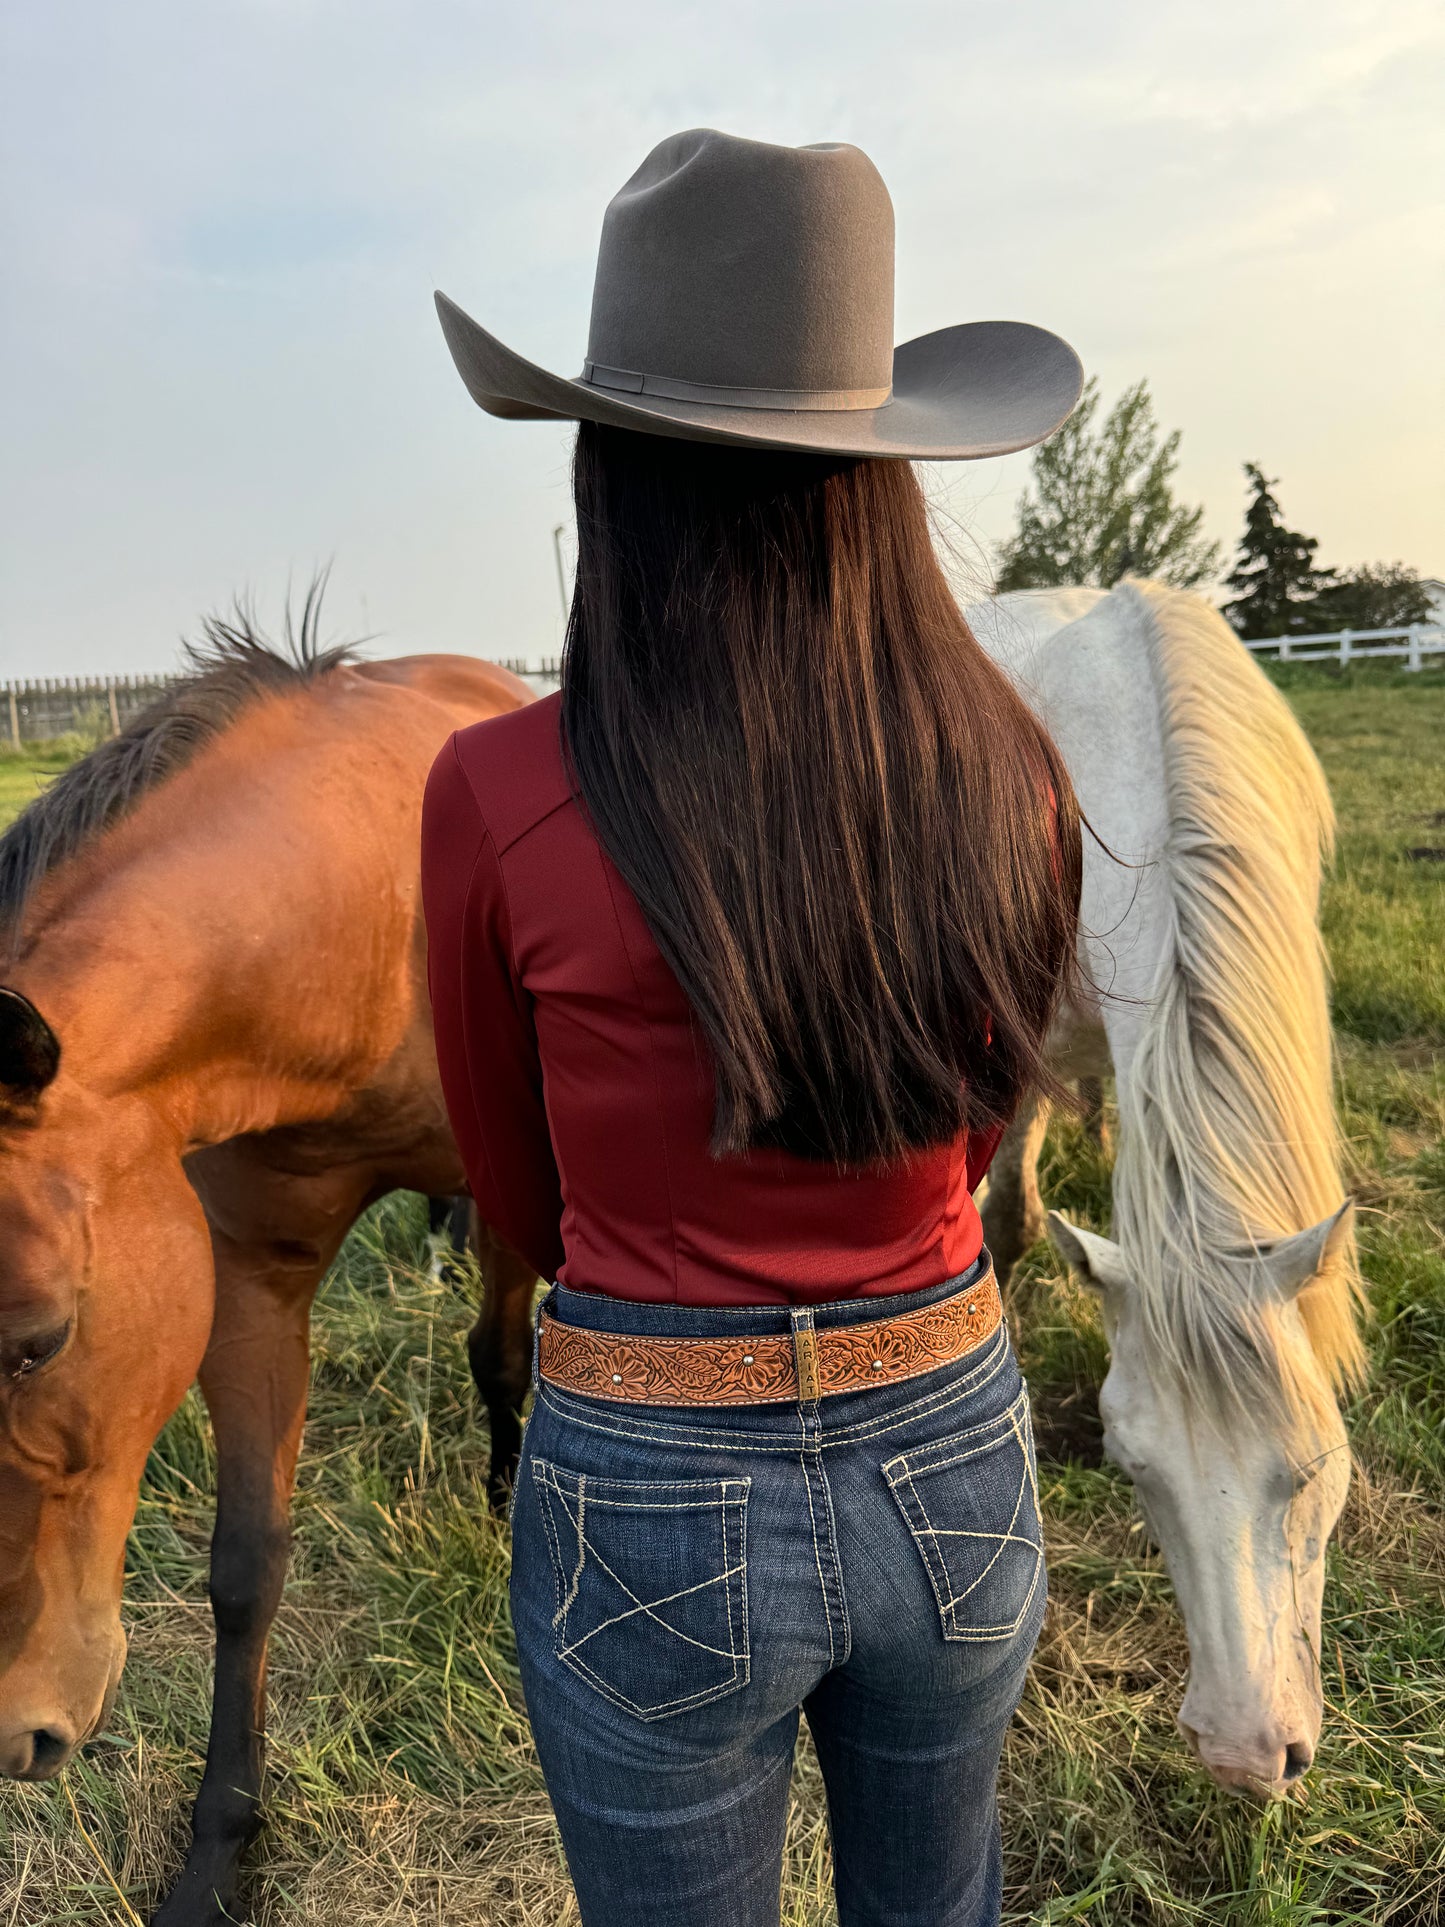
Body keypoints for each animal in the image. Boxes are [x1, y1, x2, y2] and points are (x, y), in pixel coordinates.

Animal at [0, 620, 543, 1927]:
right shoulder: (247, 1279)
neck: (370, 932)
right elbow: (247, 1564)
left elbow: (517, 1360)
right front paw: (218, 1856)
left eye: (41, 1338)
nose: (11, 1733)